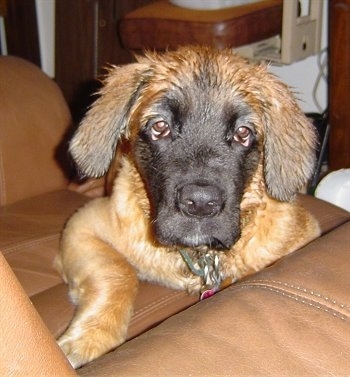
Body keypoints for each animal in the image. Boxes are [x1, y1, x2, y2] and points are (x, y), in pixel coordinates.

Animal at [55, 45, 320, 366]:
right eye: (160, 127)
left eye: (243, 133)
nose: (201, 204)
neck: (200, 256)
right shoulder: (83, 225)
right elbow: (119, 271)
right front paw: (88, 339)